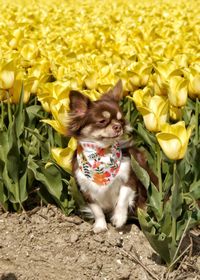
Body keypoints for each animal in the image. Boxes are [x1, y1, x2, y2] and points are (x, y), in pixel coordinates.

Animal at [67, 81, 156, 234]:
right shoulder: (86, 190)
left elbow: (122, 199)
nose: (117, 126)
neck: (102, 153)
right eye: (102, 121)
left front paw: (119, 218)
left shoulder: (130, 179)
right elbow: (97, 210)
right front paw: (100, 225)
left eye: (120, 120)